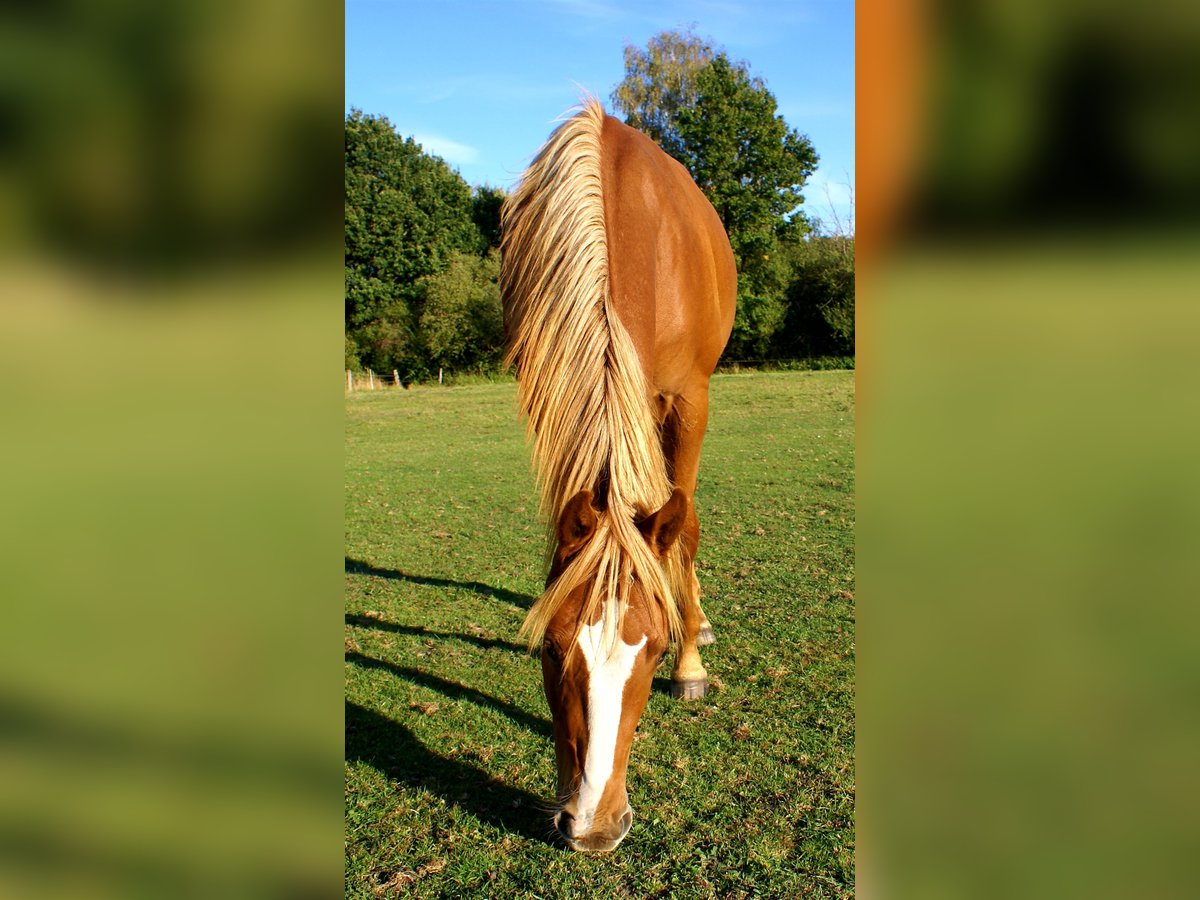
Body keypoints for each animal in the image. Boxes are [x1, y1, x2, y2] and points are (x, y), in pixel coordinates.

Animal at [500, 98, 736, 853]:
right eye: (549, 649)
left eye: (654, 651)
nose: (595, 827)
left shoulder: (690, 399)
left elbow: (681, 525)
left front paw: (690, 665)